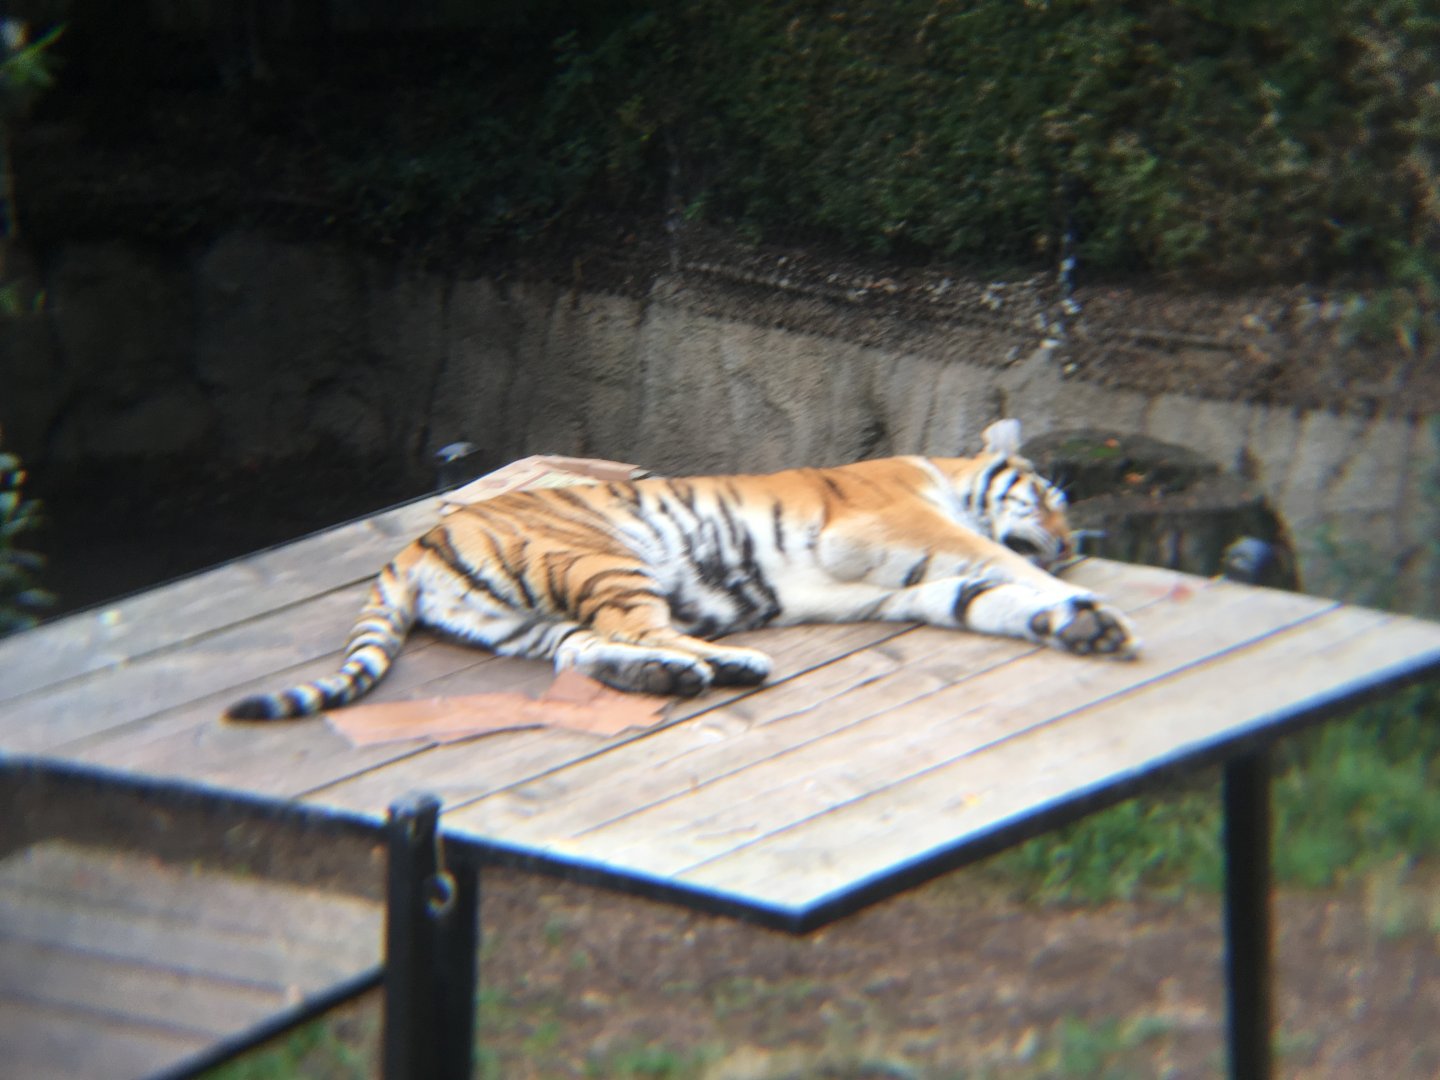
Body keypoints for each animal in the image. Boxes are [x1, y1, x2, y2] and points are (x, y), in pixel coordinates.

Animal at [223, 419, 1138, 721]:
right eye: (1048, 497)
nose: (1068, 542)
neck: (947, 473)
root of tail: (410, 546)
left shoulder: (909, 589)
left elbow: (987, 596)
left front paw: (1085, 624)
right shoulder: (898, 519)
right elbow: (994, 559)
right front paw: (1081, 597)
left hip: (529, 620)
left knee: (586, 651)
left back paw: (681, 675)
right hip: (604, 563)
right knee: (642, 632)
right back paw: (727, 666)